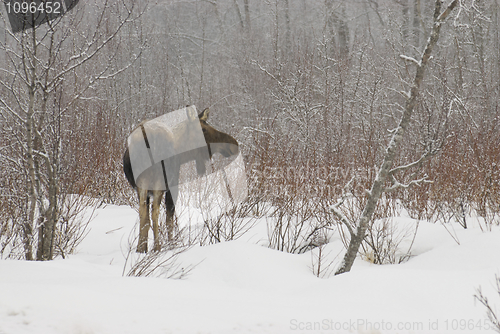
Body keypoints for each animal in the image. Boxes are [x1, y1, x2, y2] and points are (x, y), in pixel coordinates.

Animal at [121, 107, 238, 253]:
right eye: (203, 129)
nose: (233, 144)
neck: (182, 153)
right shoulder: (172, 186)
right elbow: (169, 220)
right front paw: (171, 245)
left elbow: (147, 218)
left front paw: (142, 249)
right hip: (159, 182)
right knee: (155, 213)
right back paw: (157, 248)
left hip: (142, 184)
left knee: (143, 214)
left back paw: (142, 249)